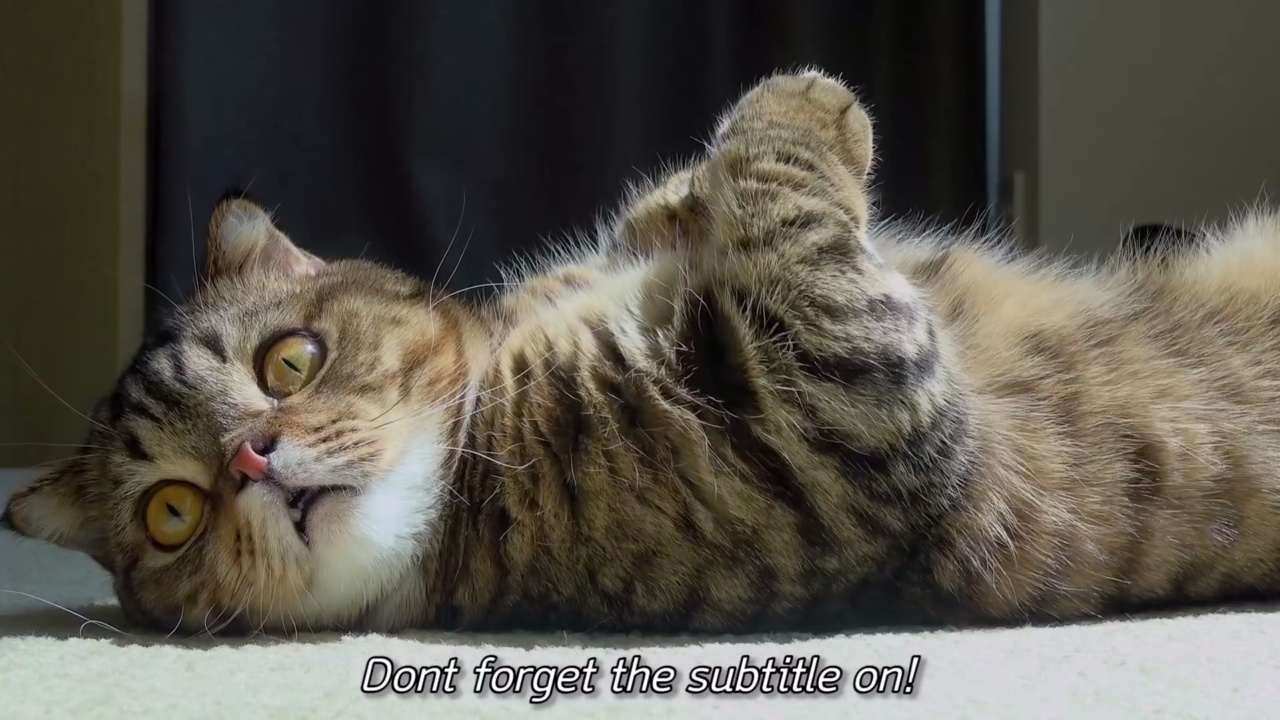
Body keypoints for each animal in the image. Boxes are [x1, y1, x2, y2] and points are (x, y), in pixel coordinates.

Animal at [6, 69, 1280, 636]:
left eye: (288, 361)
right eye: (173, 513)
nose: (253, 462)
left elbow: (665, 210)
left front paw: (678, 201)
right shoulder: (852, 404)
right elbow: (782, 193)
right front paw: (806, 106)